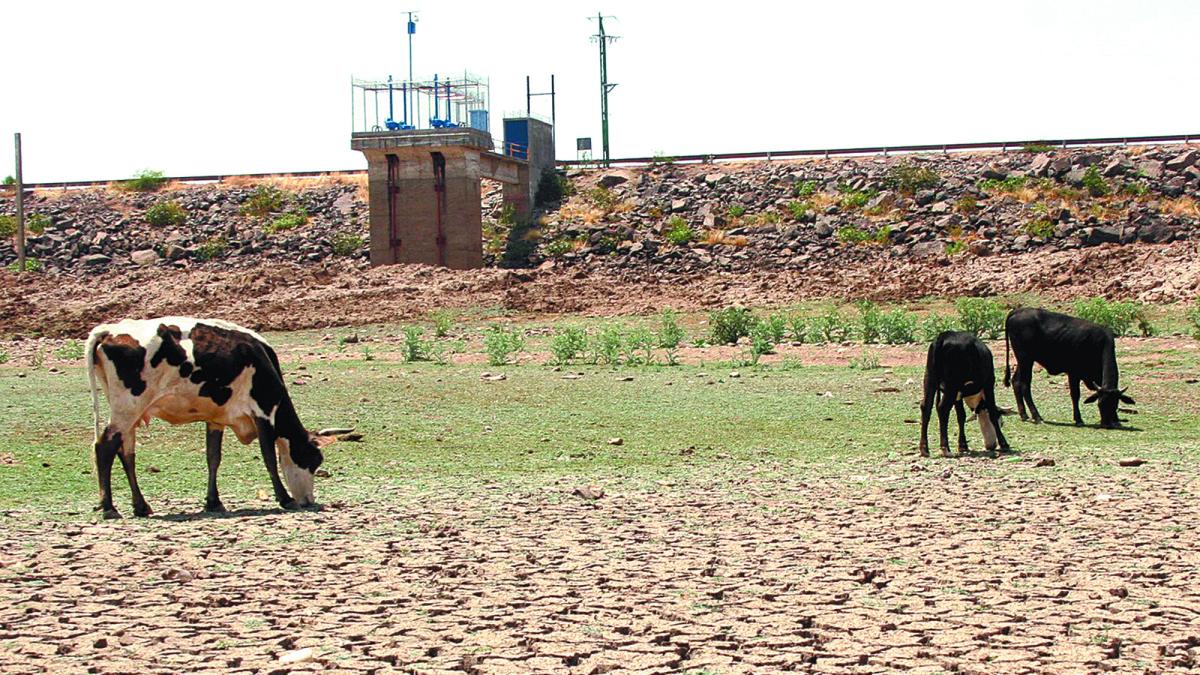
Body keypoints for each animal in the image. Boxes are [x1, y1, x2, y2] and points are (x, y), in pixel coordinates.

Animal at [1003, 306, 1132, 425]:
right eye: (1100, 404)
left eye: (1115, 404)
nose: (1106, 423)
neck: (1100, 343)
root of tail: (1018, 311)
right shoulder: (1074, 373)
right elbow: (1075, 395)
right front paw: (1078, 419)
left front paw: (1117, 420)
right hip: (1025, 359)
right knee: (1025, 385)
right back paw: (1037, 416)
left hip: (1024, 360)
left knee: (1016, 381)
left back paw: (1024, 414)